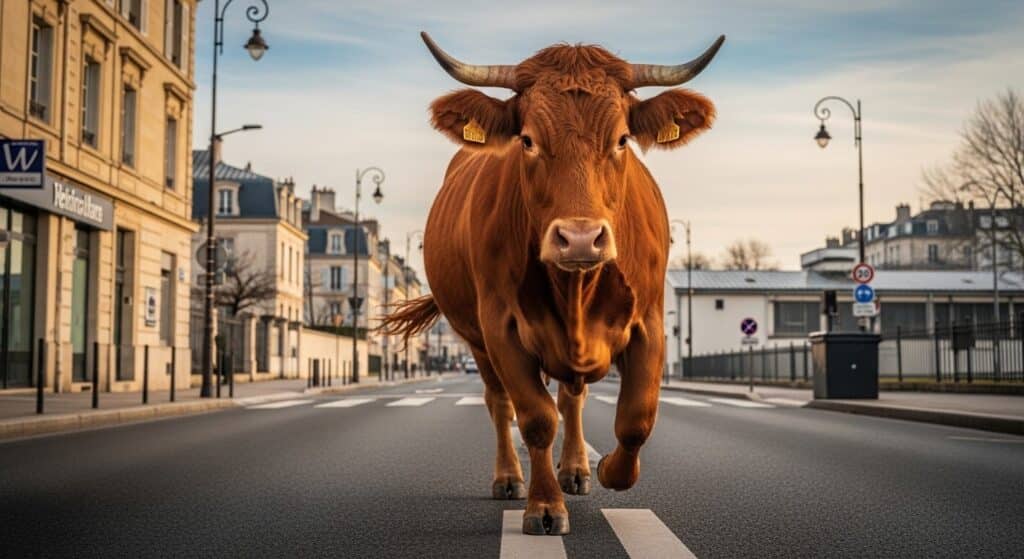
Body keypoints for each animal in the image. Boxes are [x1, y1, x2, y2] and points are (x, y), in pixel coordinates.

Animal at [381, 32, 723, 535]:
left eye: (622, 139)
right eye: (527, 140)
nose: (580, 237)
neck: (575, 291)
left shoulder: (650, 323)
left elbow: (635, 418)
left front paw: (606, 470)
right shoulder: (500, 328)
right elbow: (535, 418)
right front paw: (544, 506)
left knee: (572, 399)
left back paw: (577, 469)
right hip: (477, 342)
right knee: (499, 403)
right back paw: (509, 477)